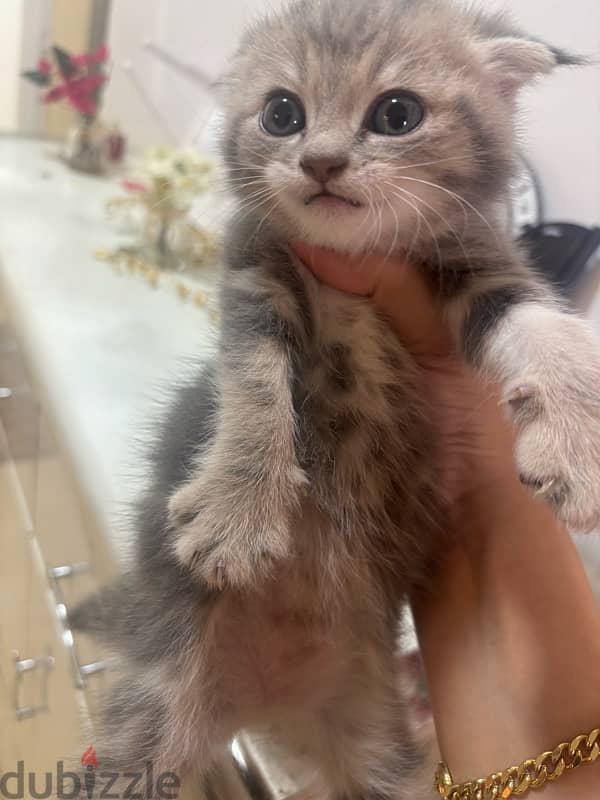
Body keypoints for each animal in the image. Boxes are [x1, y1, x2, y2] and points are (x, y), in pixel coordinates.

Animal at [74, 1, 600, 800]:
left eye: (398, 114)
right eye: (281, 113)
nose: (320, 161)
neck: (353, 263)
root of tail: (260, 705)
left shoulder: (480, 261)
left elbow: (544, 326)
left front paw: (576, 442)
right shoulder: (253, 277)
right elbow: (253, 388)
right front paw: (236, 510)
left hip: (379, 748)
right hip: (150, 714)